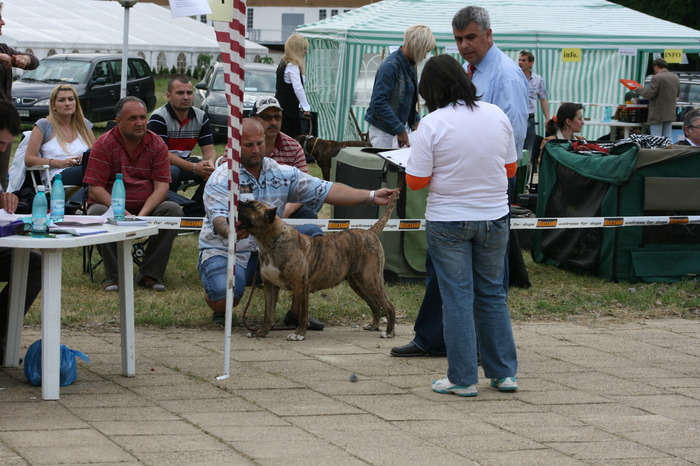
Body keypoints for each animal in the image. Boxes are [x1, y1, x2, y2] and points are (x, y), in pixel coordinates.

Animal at [238, 190, 400, 342]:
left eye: (251, 206)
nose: (237, 201)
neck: (272, 241)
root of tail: (370, 231)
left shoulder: (301, 286)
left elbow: (303, 314)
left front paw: (299, 334)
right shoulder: (270, 286)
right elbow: (268, 314)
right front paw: (260, 332)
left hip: (371, 279)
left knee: (389, 306)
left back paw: (389, 332)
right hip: (358, 283)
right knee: (375, 305)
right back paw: (374, 326)